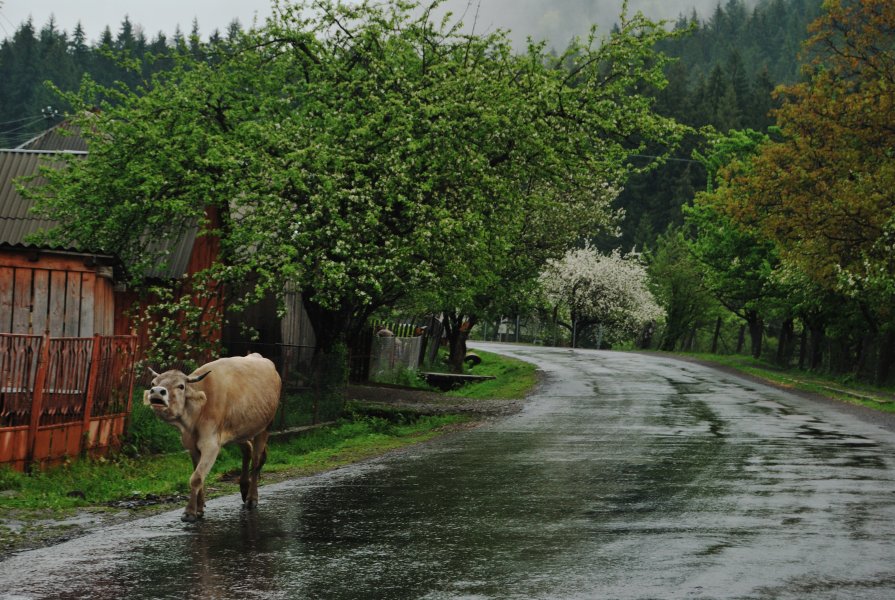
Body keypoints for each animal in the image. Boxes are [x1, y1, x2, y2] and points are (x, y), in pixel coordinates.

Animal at [144, 354, 280, 524]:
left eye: (181, 386)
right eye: (153, 383)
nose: (157, 392)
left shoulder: (211, 445)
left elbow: (196, 477)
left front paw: (189, 512)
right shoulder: (192, 446)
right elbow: (199, 476)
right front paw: (199, 508)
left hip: (264, 427)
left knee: (256, 462)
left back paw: (251, 498)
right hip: (239, 430)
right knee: (247, 451)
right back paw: (243, 487)